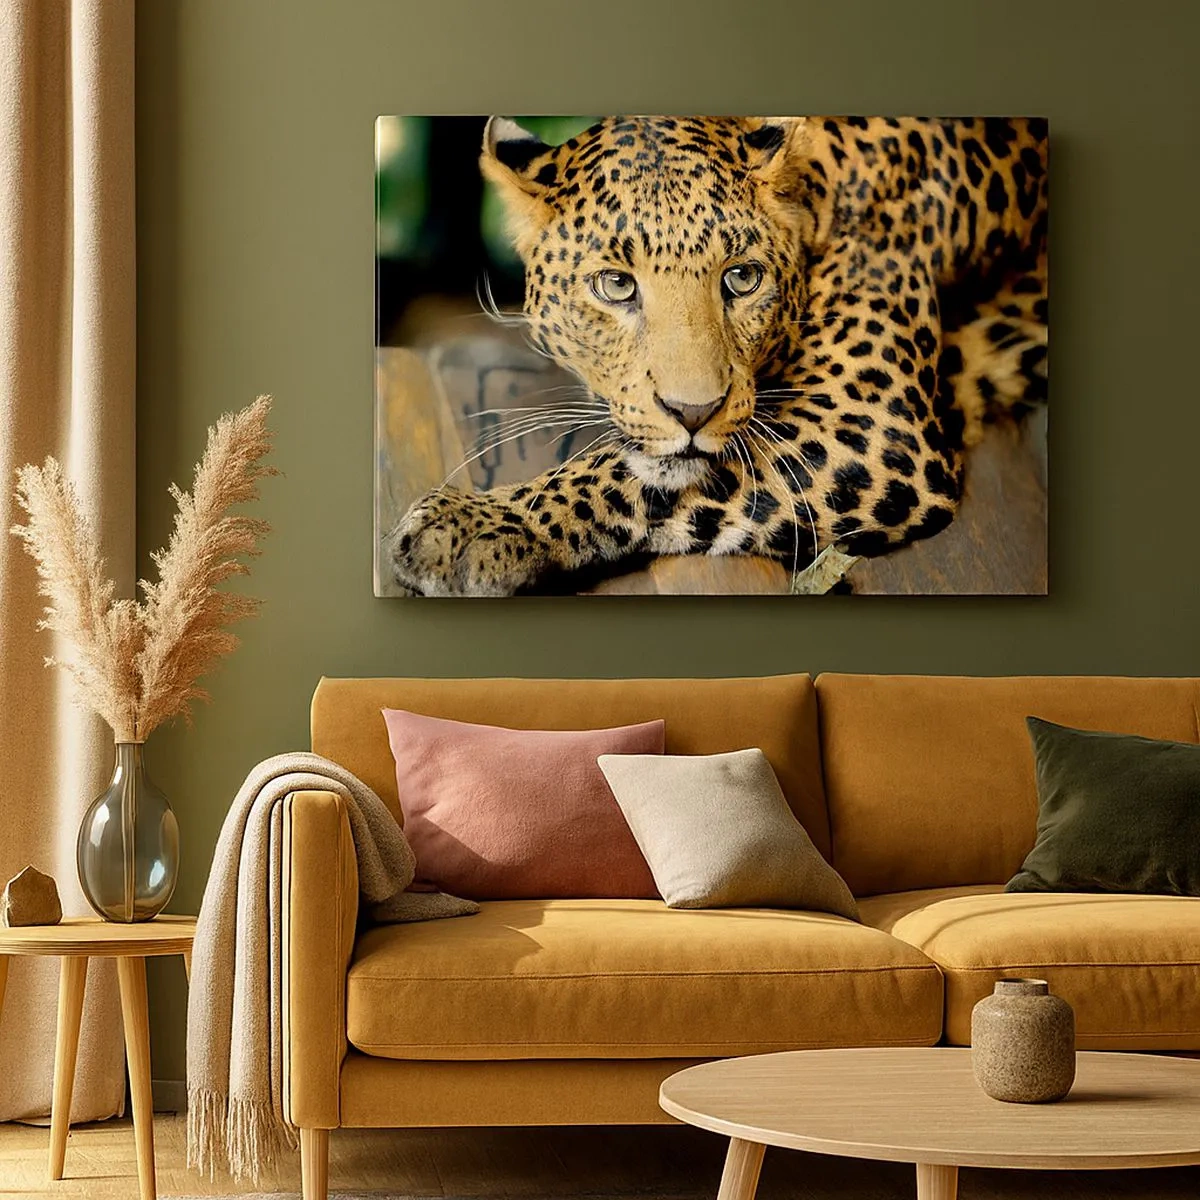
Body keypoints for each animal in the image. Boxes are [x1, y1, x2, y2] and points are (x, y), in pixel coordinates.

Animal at [388, 113, 1048, 596]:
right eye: (616, 285)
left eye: (742, 278)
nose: (693, 412)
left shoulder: (873, 426)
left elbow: (627, 472)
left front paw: (479, 524)